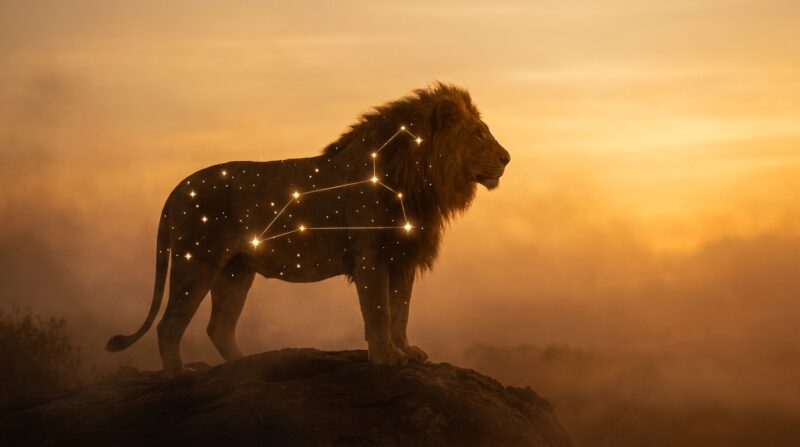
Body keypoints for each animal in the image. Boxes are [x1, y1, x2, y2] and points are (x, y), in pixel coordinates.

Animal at [106, 82, 510, 377]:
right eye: (478, 134)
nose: (507, 158)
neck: (417, 180)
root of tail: (177, 188)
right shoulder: (370, 255)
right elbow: (379, 311)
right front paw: (384, 357)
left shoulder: (404, 256)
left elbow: (401, 310)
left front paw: (406, 350)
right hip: (198, 261)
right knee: (169, 325)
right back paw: (179, 375)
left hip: (236, 270)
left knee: (218, 326)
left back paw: (247, 365)